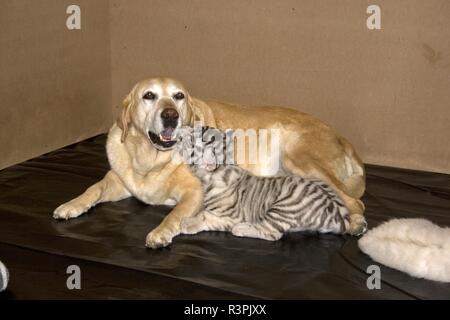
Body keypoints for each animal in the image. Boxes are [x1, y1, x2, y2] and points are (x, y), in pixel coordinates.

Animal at [54, 77, 368, 248]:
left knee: (354, 202)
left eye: (178, 96)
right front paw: (71, 205)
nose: (170, 115)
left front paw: (160, 232)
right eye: (149, 96)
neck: (151, 159)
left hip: (297, 156)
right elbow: (92, 189)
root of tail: (343, 138)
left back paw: (355, 224)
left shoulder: (193, 193)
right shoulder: (118, 180)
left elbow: (174, 215)